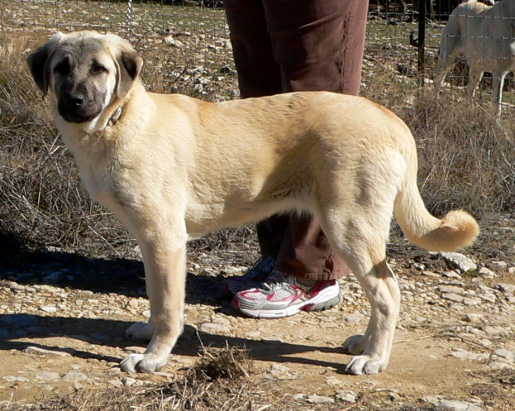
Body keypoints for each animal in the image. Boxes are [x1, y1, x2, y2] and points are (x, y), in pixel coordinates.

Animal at [27, 30, 480, 374]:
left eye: (99, 69)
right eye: (61, 68)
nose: (74, 102)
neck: (118, 123)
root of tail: (392, 120)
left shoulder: (165, 238)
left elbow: (170, 307)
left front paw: (154, 356)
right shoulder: (150, 241)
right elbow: (156, 297)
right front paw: (147, 332)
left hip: (348, 226)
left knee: (387, 292)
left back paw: (374, 358)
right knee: (381, 291)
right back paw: (364, 344)